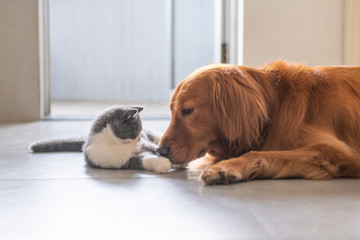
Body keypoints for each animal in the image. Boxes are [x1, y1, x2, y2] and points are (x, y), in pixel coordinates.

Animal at [30, 106, 171, 173]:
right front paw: (163, 164)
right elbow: (140, 160)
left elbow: (150, 147)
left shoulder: (143, 144)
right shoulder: (115, 160)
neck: (114, 143)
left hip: (154, 134)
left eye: (140, 131)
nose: (138, 138)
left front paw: (162, 150)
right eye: (135, 131)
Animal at [159, 61, 360, 185]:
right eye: (171, 111)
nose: (160, 151)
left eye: (188, 110)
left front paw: (225, 168)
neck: (276, 106)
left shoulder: (336, 150)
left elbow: (262, 154)